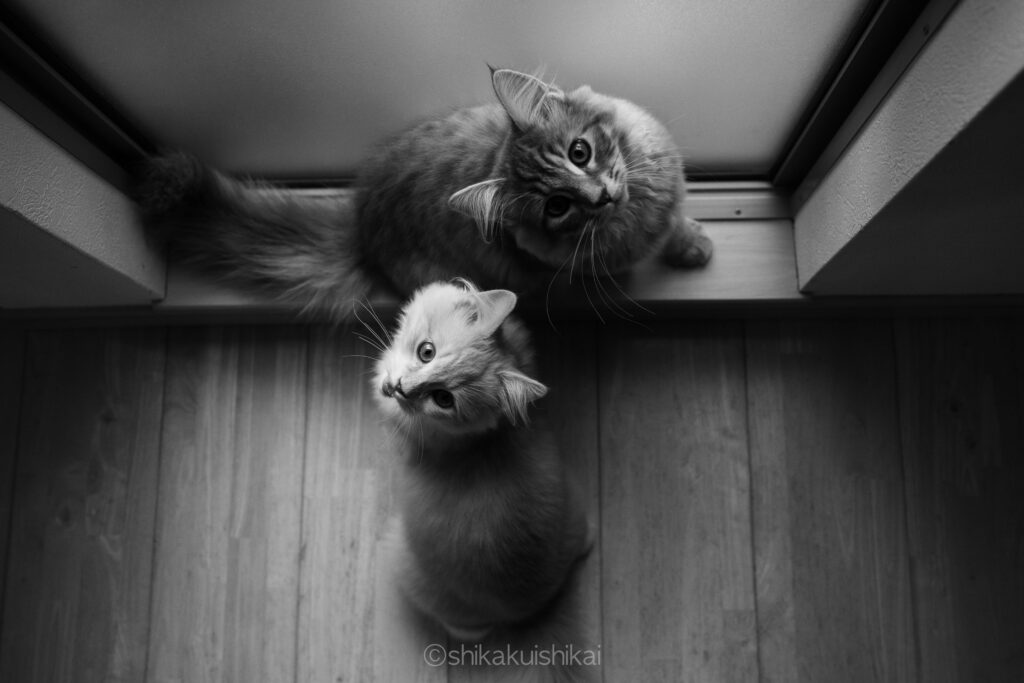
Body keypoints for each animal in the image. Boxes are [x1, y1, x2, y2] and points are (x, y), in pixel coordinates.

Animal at [139, 67, 712, 318]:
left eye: (579, 151)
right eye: (557, 207)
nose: (600, 198)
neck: (637, 211)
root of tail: (361, 227)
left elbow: (677, 226)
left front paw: (693, 244)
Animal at [374, 279, 595, 681]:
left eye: (443, 399)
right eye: (427, 352)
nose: (401, 388)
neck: (490, 435)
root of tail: (532, 610)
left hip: (402, 555)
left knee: (467, 631)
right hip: (577, 508)